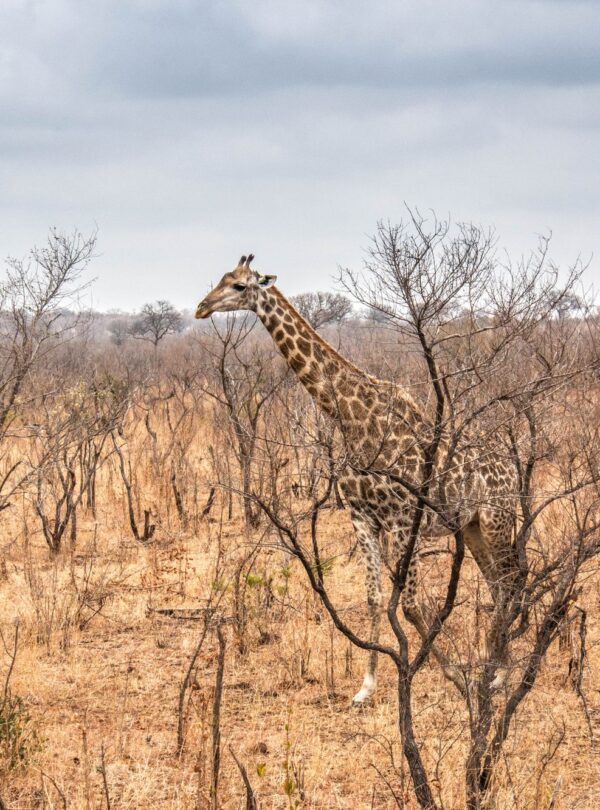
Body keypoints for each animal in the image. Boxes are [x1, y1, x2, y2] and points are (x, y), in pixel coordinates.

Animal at [195, 255, 519, 704]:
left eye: (240, 286)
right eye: (223, 279)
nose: (201, 307)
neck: (350, 418)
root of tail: (511, 467)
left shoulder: (403, 521)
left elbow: (411, 605)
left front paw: (456, 676)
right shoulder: (362, 517)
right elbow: (373, 598)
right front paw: (367, 686)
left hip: (497, 520)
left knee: (509, 584)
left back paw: (499, 675)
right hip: (471, 527)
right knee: (497, 586)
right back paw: (495, 668)